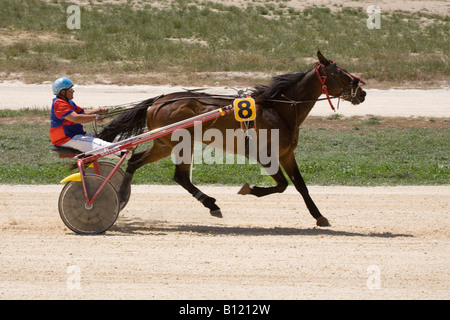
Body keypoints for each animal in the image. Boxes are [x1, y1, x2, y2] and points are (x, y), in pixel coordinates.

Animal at [98, 51, 366, 226]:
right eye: (340, 73)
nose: (362, 92)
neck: (279, 109)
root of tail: (158, 100)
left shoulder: (286, 154)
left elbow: (300, 186)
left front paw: (319, 216)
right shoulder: (265, 155)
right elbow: (282, 185)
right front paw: (249, 189)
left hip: (163, 144)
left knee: (134, 162)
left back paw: (121, 196)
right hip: (181, 143)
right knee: (180, 176)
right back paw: (211, 204)